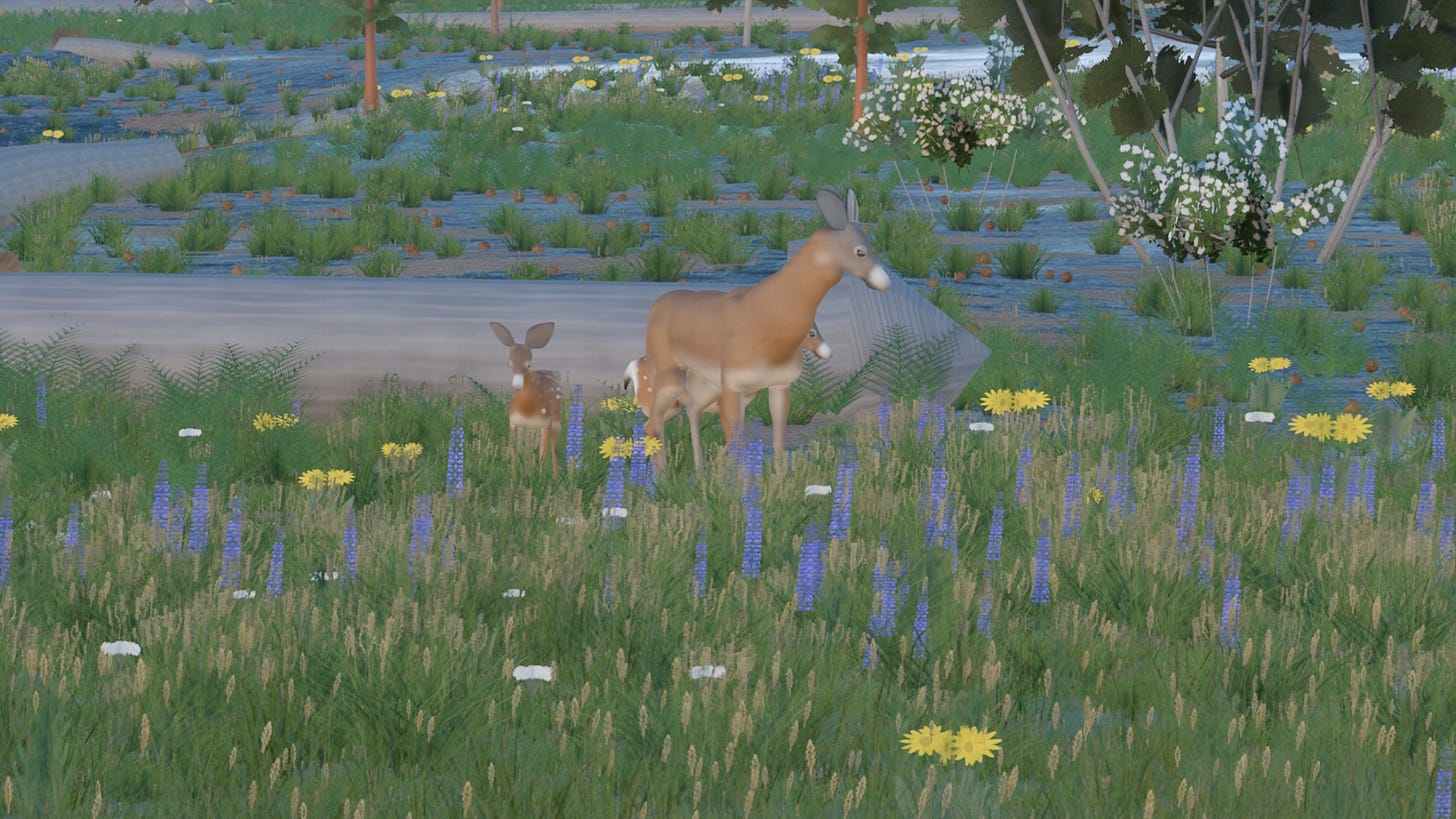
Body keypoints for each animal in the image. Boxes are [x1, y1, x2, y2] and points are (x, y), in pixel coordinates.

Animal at [489, 321, 563, 477]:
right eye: (509, 363)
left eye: (528, 364)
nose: (517, 384)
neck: (527, 408)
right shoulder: (514, 422)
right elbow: (514, 451)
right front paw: (514, 475)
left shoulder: (545, 423)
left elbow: (542, 454)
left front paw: (540, 477)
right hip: (529, 428)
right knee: (528, 447)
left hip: (555, 420)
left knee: (554, 447)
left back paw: (556, 476)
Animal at [624, 320, 831, 471]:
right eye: (811, 333)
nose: (826, 352)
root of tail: (631, 369)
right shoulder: (721, 400)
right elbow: (729, 434)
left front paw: (716, 465)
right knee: (656, 424)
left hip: (673, 408)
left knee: (649, 425)